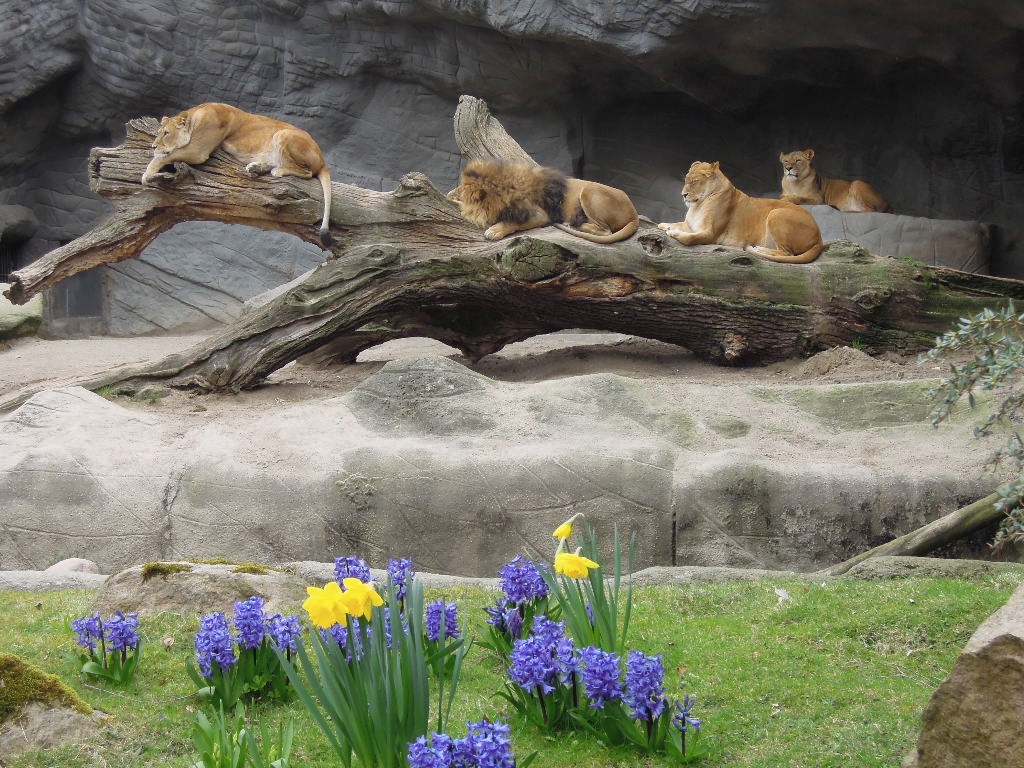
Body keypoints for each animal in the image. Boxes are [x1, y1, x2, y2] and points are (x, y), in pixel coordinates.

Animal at [139, 102, 331, 246]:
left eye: (166, 133)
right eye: (159, 133)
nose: (153, 146)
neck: (197, 115)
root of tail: (323, 159)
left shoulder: (198, 150)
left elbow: (163, 157)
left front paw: (148, 173)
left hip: (283, 134)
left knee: (307, 172)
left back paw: (277, 170)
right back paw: (256, 168)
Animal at [448, 161, 638, 243]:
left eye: (462, 189)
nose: (451, 192)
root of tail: (634, 215)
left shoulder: (540, 214)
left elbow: (512, 221)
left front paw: (494, 230)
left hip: (589, 191)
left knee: (606, 231)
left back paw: (572, 224)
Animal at [663, 159, 823, 264]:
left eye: (695, 182)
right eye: (686, 181)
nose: (683, 195)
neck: (698, 205)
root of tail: (819, 237)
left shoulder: (710, 234)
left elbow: (689, 238)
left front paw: (673, 232)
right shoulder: (691, 225)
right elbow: (676, 224)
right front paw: (666, 225)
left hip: (776, 213)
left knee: (788, 253)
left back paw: (759, 249)